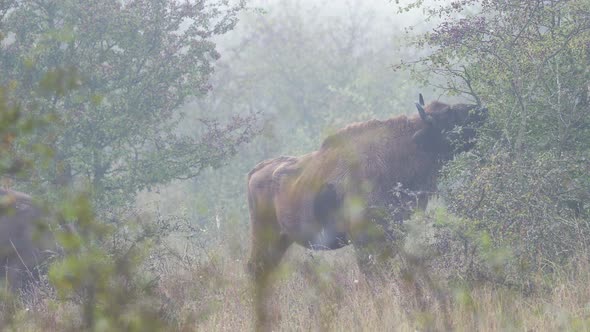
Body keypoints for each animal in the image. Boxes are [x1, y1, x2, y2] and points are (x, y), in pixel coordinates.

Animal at [247, 94, 488, 330]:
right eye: (449, 116)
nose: (483, 111)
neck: (403, 149)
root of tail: (256, 171)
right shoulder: (364, 242)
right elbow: (375, 279)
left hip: (281, 241)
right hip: (265, 237)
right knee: (257, 270)